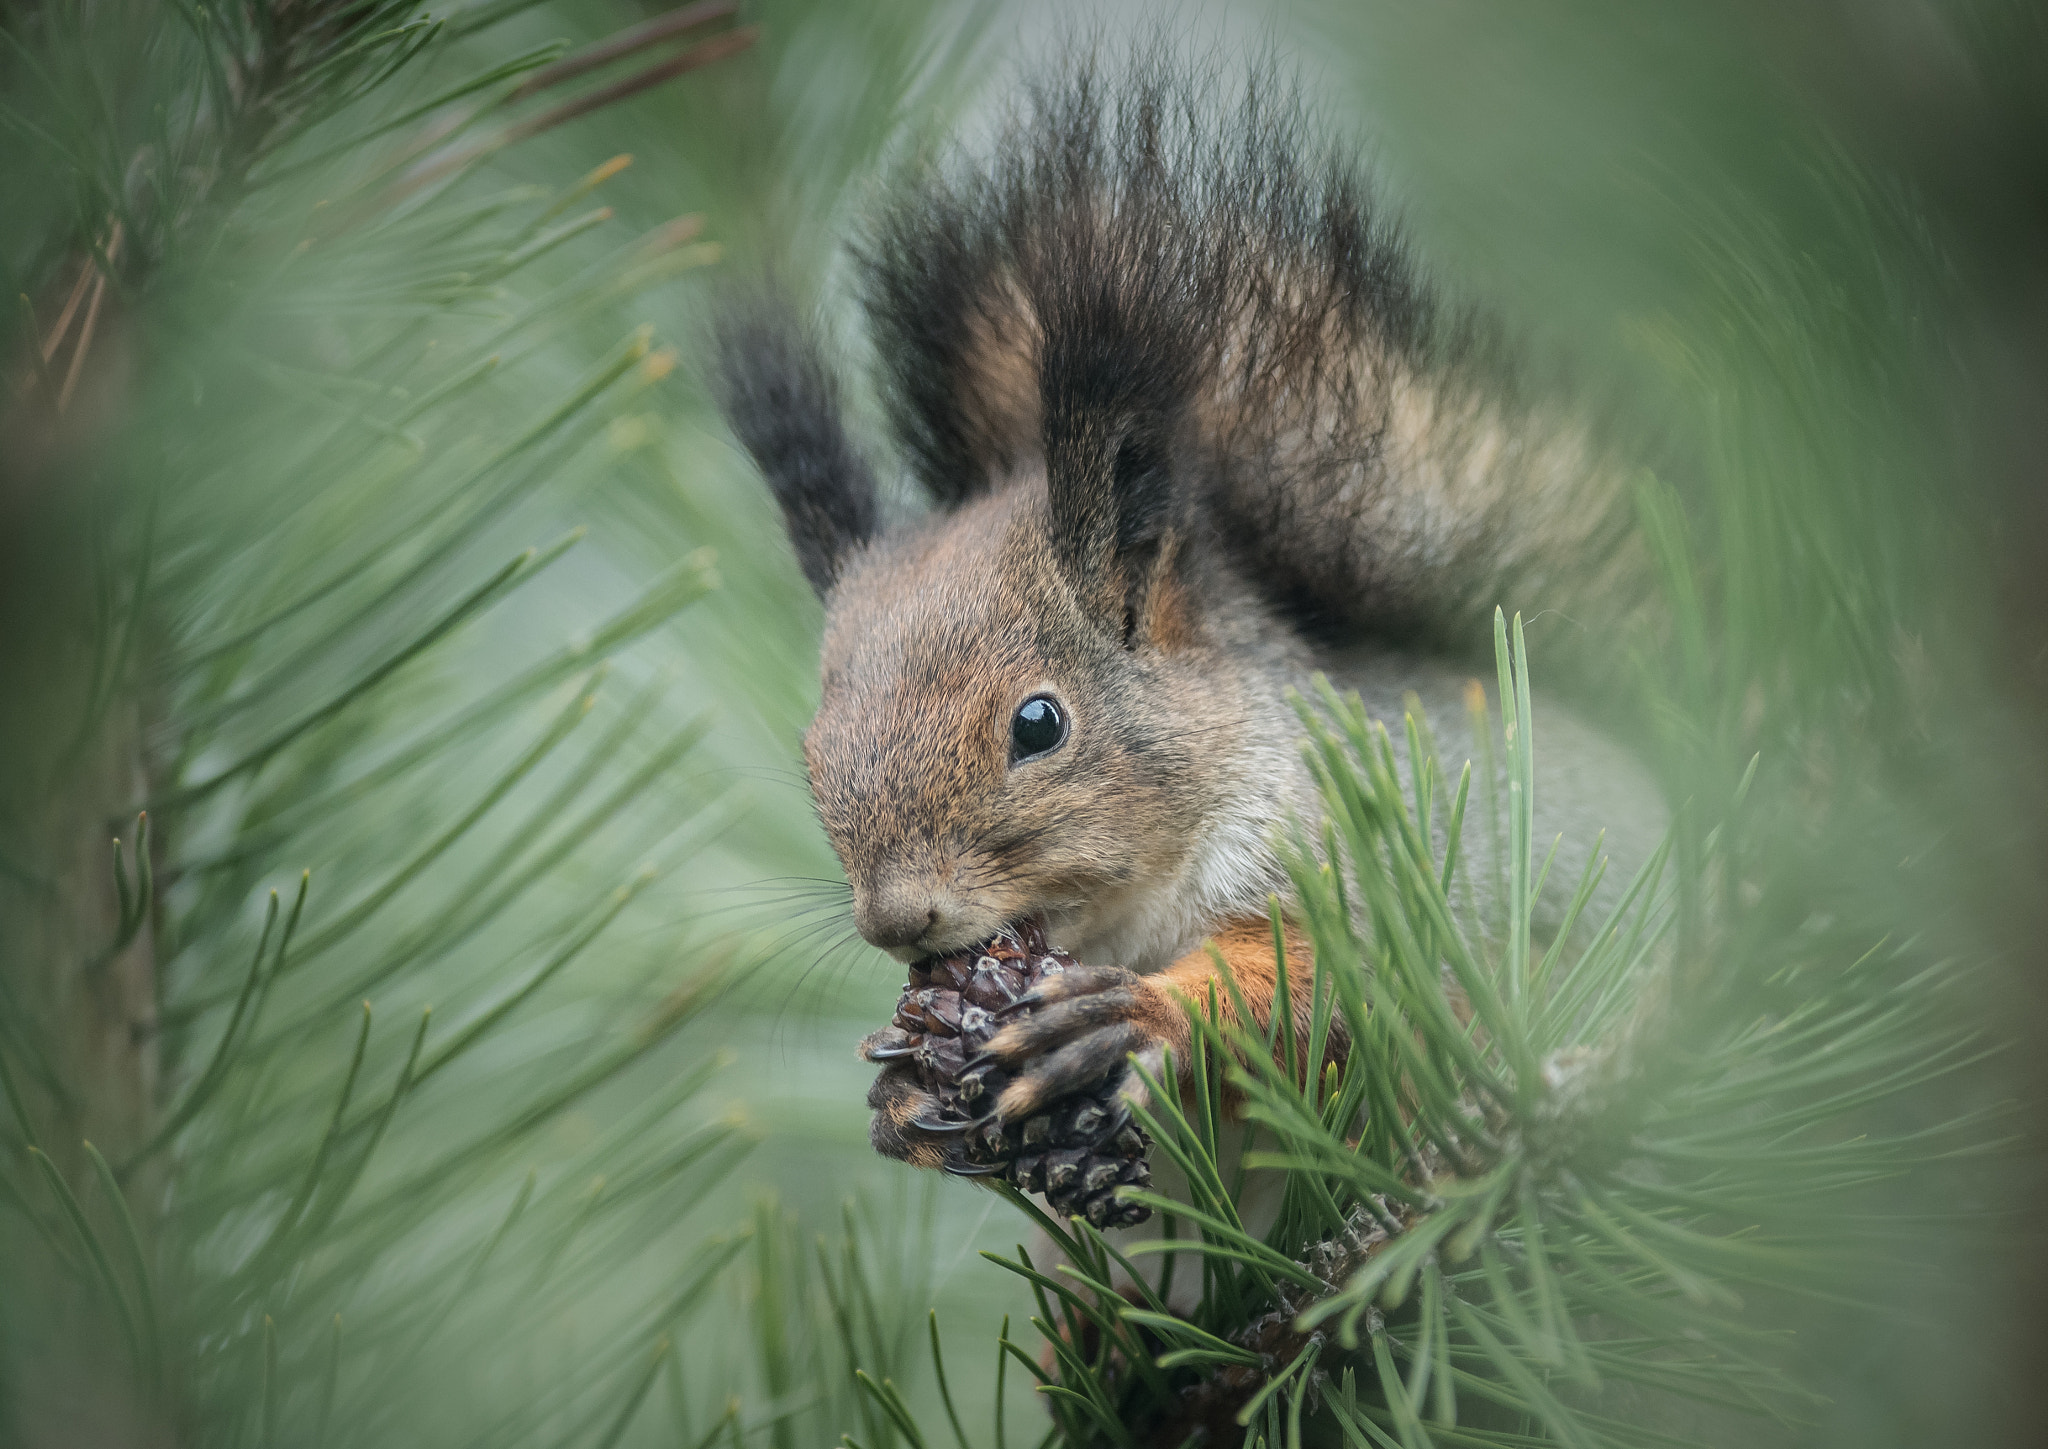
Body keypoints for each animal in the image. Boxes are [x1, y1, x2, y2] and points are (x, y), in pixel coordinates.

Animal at [711, 55, 1666, 1176]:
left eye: (1038, 723)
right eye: (811, 750)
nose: (901, 921)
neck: (1127, 914)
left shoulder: (1366, 855)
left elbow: (1322, 972)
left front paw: (1136, 1015)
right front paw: (904, 1094)